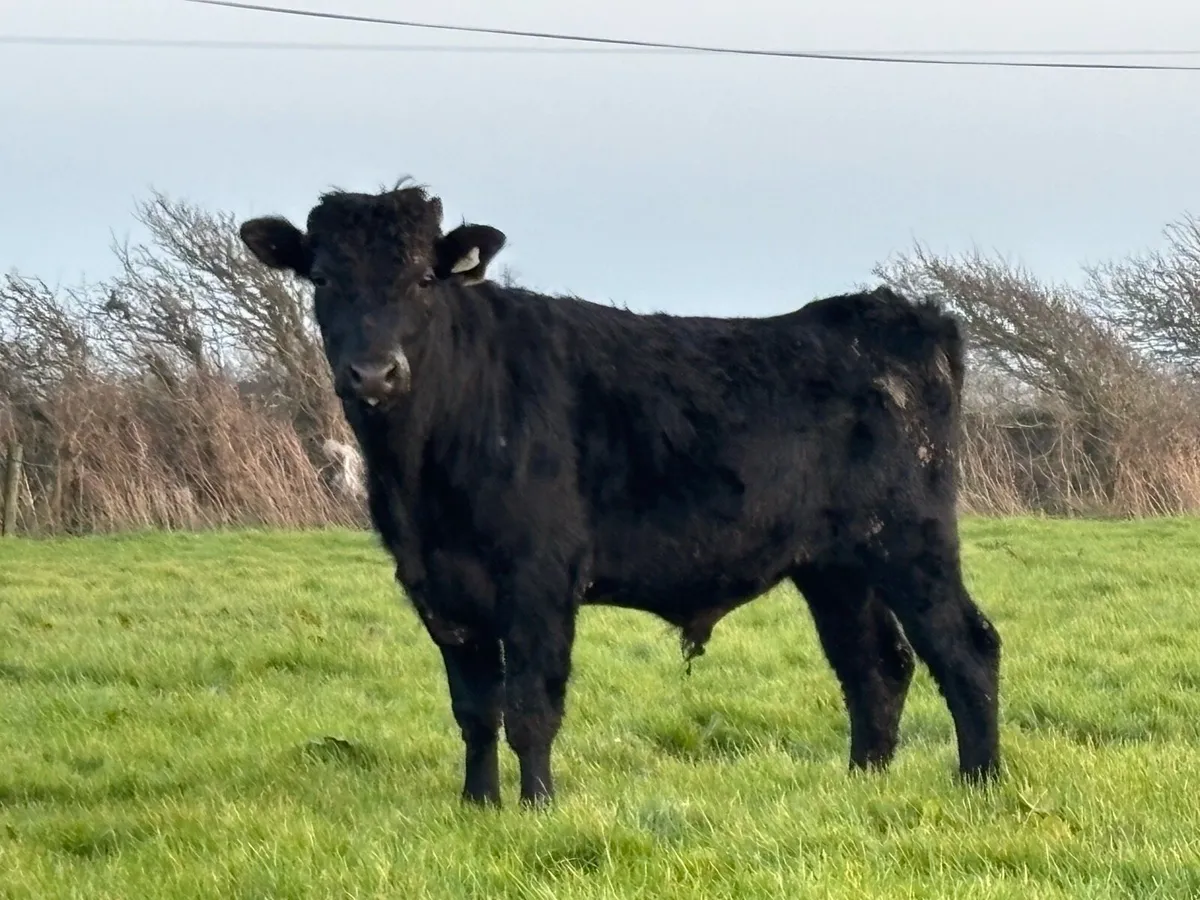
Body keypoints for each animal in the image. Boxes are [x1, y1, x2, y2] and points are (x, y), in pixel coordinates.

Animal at [238, 181, 1002, 808]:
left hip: (910, 538)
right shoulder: (439, 589)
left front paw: (537, 808)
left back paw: (980, 784)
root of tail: (900, 315)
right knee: (876, 667)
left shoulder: (539, 577)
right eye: (323, 277)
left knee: (966, 647)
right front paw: (477, 806)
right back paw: (860, 785)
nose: (375, 373)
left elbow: (531, 706)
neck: (420, 472)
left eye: (425, 277)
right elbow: (475, 710)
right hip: (836, 565)